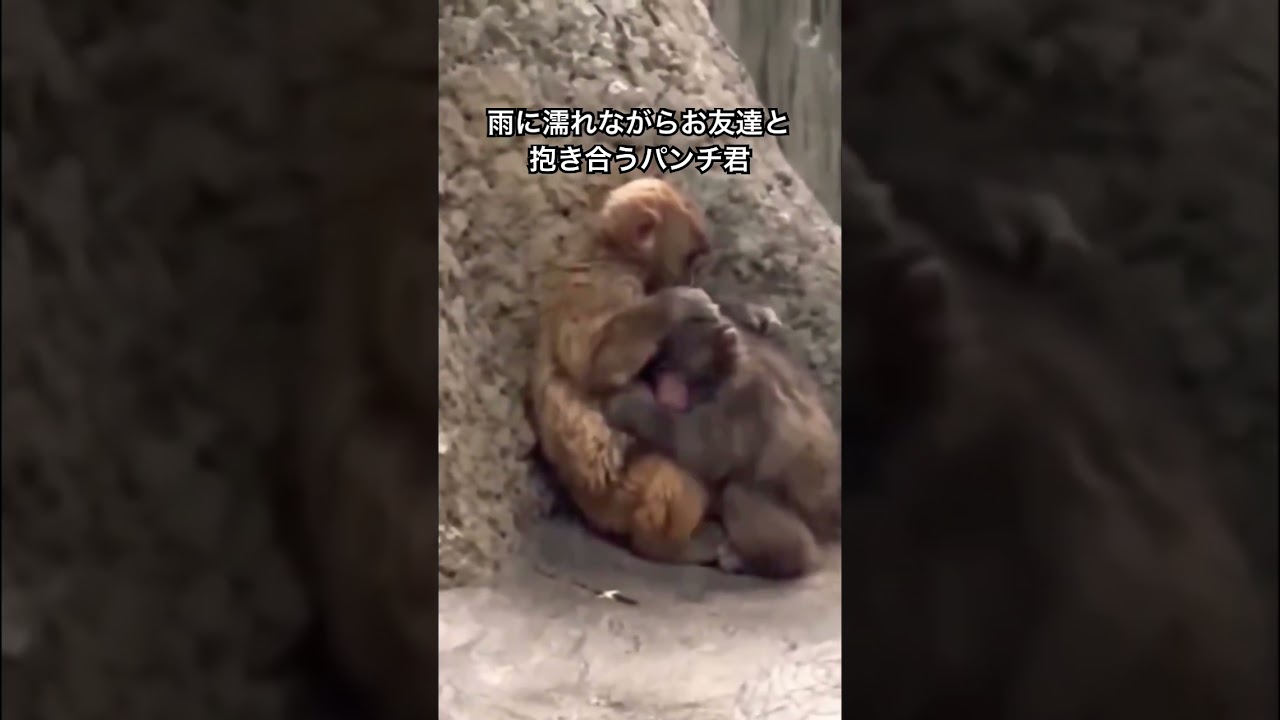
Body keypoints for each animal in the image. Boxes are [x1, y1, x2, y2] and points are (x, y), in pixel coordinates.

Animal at [526, 177, 733, 565]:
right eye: (690, 259)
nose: (693, 278)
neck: (612, 253)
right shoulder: (611, 286)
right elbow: (595, 364)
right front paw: (676, 303)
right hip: (623, 498)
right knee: (674, 465)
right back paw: (671, 545)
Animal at [601, 302, 842, 580]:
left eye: (666, 371)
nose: (662, 387)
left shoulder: (742, 398)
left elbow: (704, 448)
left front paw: (630, 404)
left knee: (740, 494)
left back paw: (762, 560)